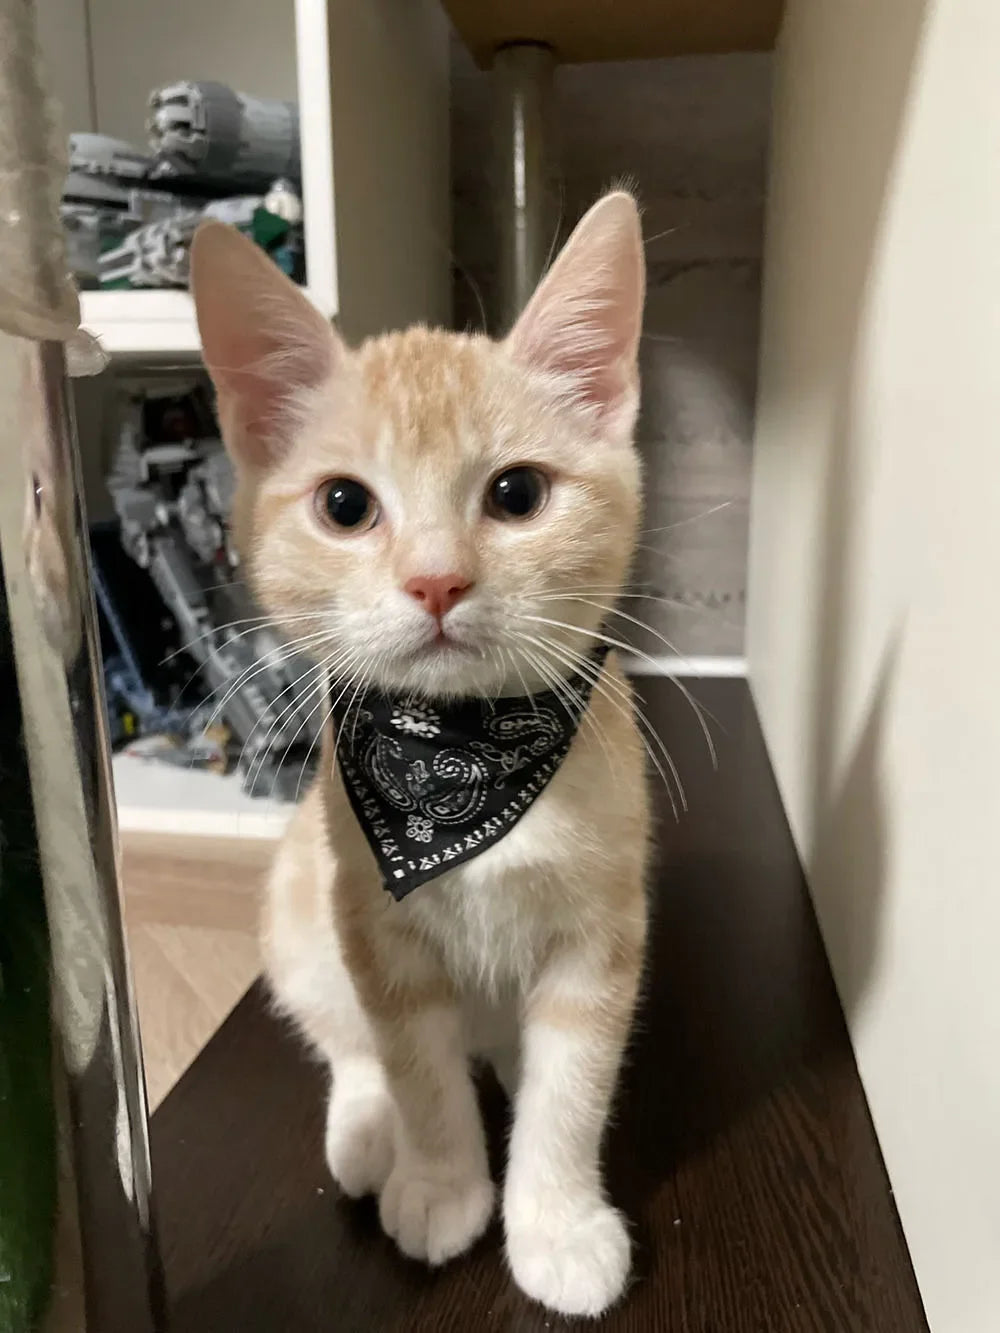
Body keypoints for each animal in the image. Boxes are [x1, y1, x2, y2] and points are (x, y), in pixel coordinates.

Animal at [192, 193, 653, 1317]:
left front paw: (554, 1219)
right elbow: (415, 1064)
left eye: (518, 493)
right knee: (345, 1040)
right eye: (345, 506)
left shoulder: (599, 936)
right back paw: (366, 1132)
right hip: (297, 911)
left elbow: (574, 1087)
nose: (437, 580)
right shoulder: (376, 929)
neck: (461, 763)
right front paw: (443, 1181)